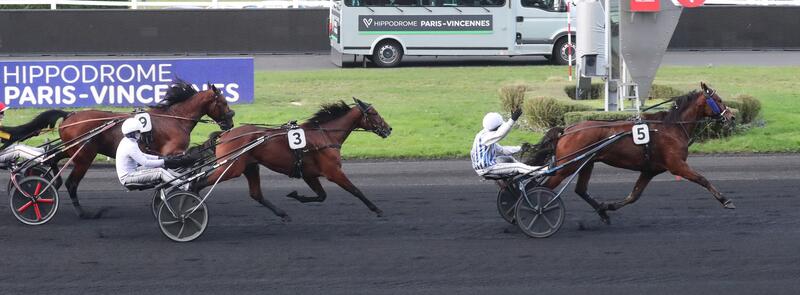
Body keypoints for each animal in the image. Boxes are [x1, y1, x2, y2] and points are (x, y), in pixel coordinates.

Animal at [56, 80, 234, 219]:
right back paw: (83, 213)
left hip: (72, 151)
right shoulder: (172, 152)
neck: (176, 119)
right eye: (224, 102)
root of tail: (69, 116)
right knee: (71, 183)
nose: (230, 123)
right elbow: (185, 161)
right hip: (84, 157)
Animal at [190, 98, 394, 223]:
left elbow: (322, 196)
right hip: (232, 168)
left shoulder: (309, 174)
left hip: (250, 166)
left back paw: (283, 214)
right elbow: (355, 190)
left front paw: (296, 195)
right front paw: (377, 209)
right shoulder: (333, 171)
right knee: (197, 183)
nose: (389, 129)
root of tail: (225, 135)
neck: (325, 136)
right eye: (374, 113)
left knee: (256, 194)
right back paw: (193, 205)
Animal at [524, 83, 736, 224]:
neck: (671, 127)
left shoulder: (650, 170)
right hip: (567, 166)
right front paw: (725, 200)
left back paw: (602, 212)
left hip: (586, 163)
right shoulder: (677, 165)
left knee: (580, 190)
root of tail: (567, 129)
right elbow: (702, 179)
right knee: (542, 188)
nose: (732, 116)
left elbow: (634, 195)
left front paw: (608, 206)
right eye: (718, 100)